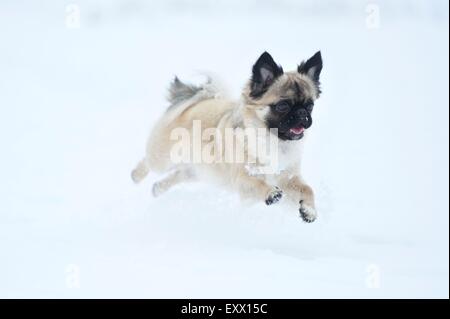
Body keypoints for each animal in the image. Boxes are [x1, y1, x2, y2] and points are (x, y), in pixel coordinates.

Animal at [131, 52, 324, 222]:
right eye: (283, 106)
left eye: (310, 105)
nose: (302, 113)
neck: (273, 140)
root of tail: (194, 102)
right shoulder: (243, 178)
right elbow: (257, 184)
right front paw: (271, 193)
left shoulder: (288, 178)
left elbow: (307, 189)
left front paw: (309, 210)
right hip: (163, 159)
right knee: (149, 162)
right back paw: (136, 176)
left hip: (197, 170)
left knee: (179, 174)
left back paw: (158, 188)